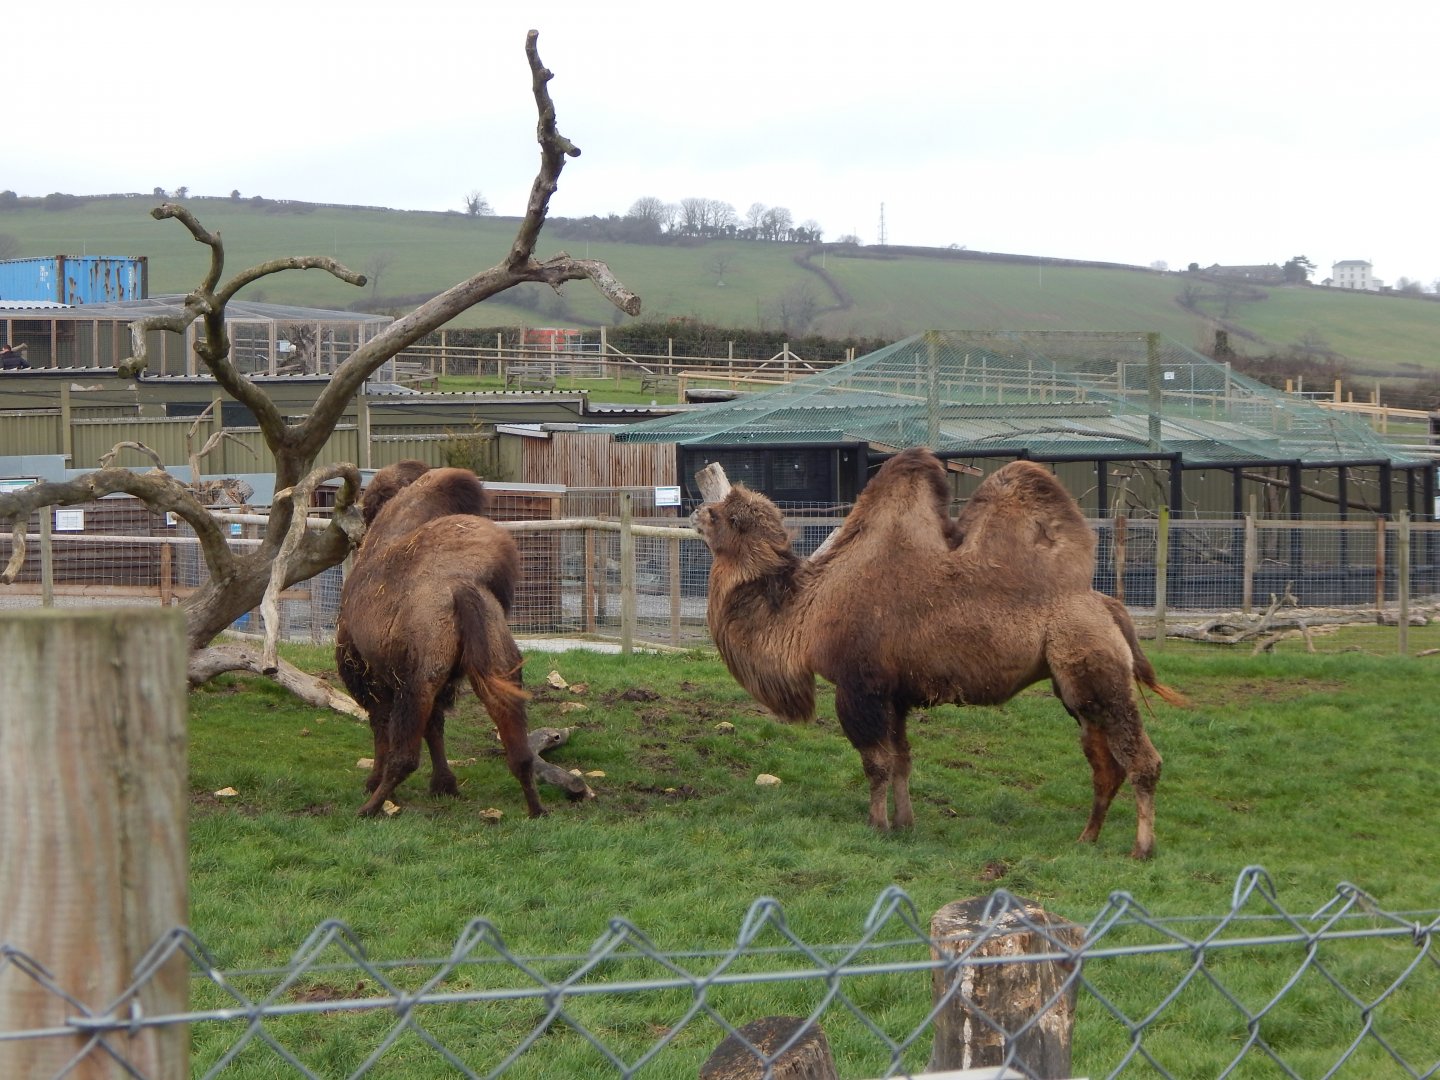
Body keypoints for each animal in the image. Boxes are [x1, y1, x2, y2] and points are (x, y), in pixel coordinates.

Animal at [335, 461, 544, 818]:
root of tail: (462, 586)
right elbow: (435, 725)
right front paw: (445, 785)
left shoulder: (368, 673)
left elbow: (380, 724)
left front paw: (373, 782)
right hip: (497, 662)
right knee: (518, 748)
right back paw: (537, 809)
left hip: (416, 681)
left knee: (404, 755)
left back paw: (370, 806)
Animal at [692, 447, 1181, 859]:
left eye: (721, 515)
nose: (696, 513)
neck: (806, 613)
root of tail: (1110, 607)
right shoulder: (895, 694)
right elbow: (903, 760)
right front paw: (906, 823)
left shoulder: (859, 687)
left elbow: (876, 763)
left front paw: (877, 825)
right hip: (1075, 688)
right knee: (1105, 765)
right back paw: (1087, 838)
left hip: (1098, 670)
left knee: (1142, 760)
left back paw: (1142, 848)